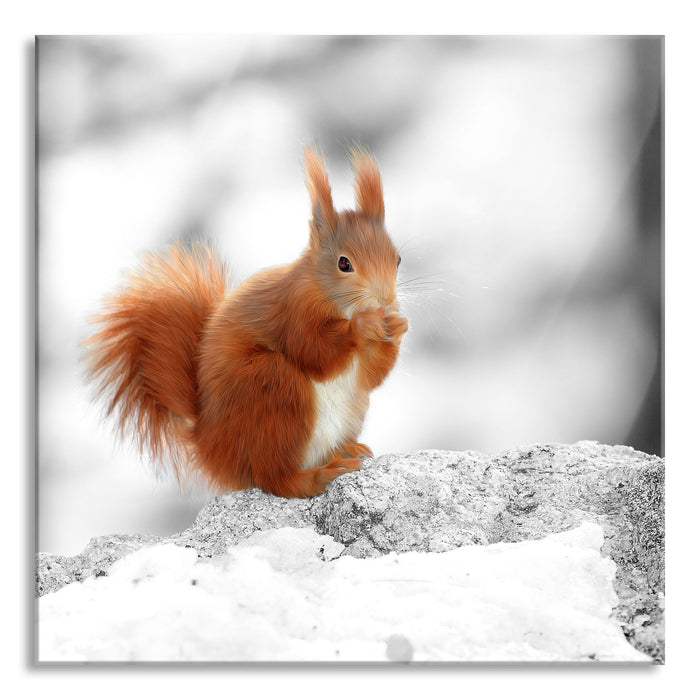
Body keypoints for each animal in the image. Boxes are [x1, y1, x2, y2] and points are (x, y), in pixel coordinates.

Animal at [84, 146, 408, 498]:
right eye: (344, 263)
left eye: (397, 259)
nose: (386, 301)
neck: (332, 300)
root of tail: (210, 447)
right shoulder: (292, 311)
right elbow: (314, 352)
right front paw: (363, 326)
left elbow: (371, 376)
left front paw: (398, 327)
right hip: (271, 389)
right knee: (275, 479)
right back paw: (318, 475)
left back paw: (347, 450)